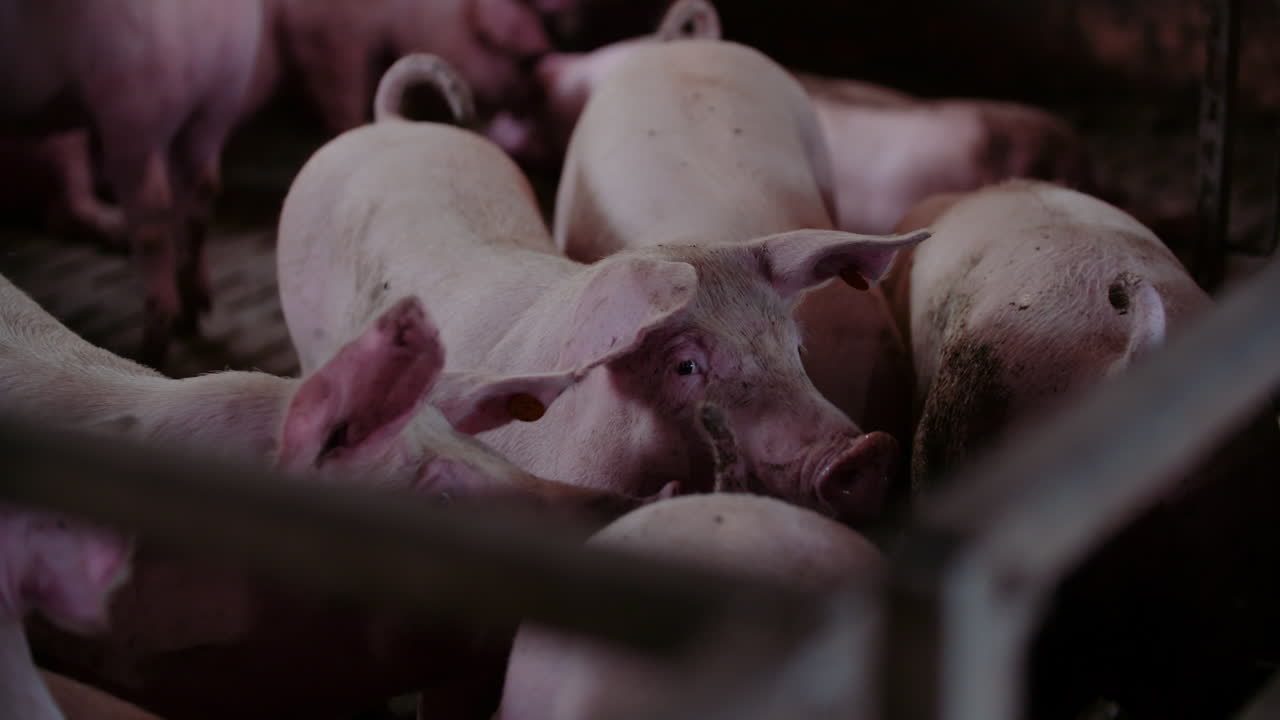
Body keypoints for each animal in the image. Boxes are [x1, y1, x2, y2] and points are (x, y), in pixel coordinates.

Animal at [0, 0, 267, 367]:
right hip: (221, 97)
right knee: (200, 195)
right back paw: (192, 313)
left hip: (133, 106)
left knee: (151, 217)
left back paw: (151, 350)